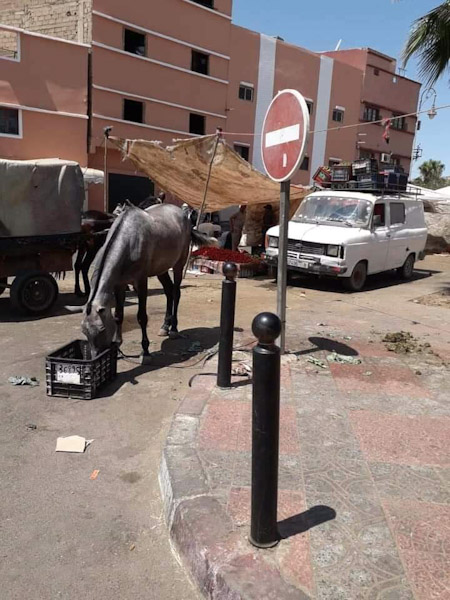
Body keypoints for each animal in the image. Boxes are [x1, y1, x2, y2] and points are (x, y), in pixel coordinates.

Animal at [81, 204, 217, 358]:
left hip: (179, 265)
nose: (97, 356)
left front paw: (145, 351)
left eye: (102, 329)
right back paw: (165, 326)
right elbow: (118, 315)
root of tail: (184, 216)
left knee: (176, 292)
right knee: (169, 291)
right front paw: (118, 344)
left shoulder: (141, 283)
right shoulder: (119, 284)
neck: (129, 240)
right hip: (161, 269)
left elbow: (142, 317)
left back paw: (174, 329)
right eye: (84, 331)